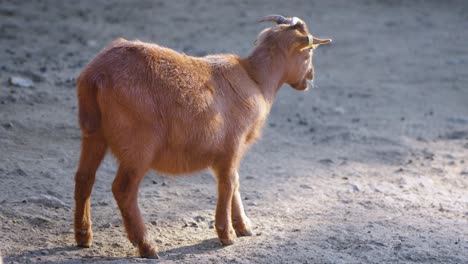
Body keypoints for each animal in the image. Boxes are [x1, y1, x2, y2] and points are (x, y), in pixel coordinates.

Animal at [73, 14, 330, 258]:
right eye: (309, 52)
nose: (311, 76)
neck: (255, 79)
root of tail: (96, 75)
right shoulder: (232, 145)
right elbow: (228, 183)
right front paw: (227, 235)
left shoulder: (228, 153)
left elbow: (234, 182)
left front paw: (243, 226)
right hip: (138, 147)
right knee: (123, 189)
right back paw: (146, 245)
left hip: (93, 133)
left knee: (84, 178)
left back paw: (83, 237)